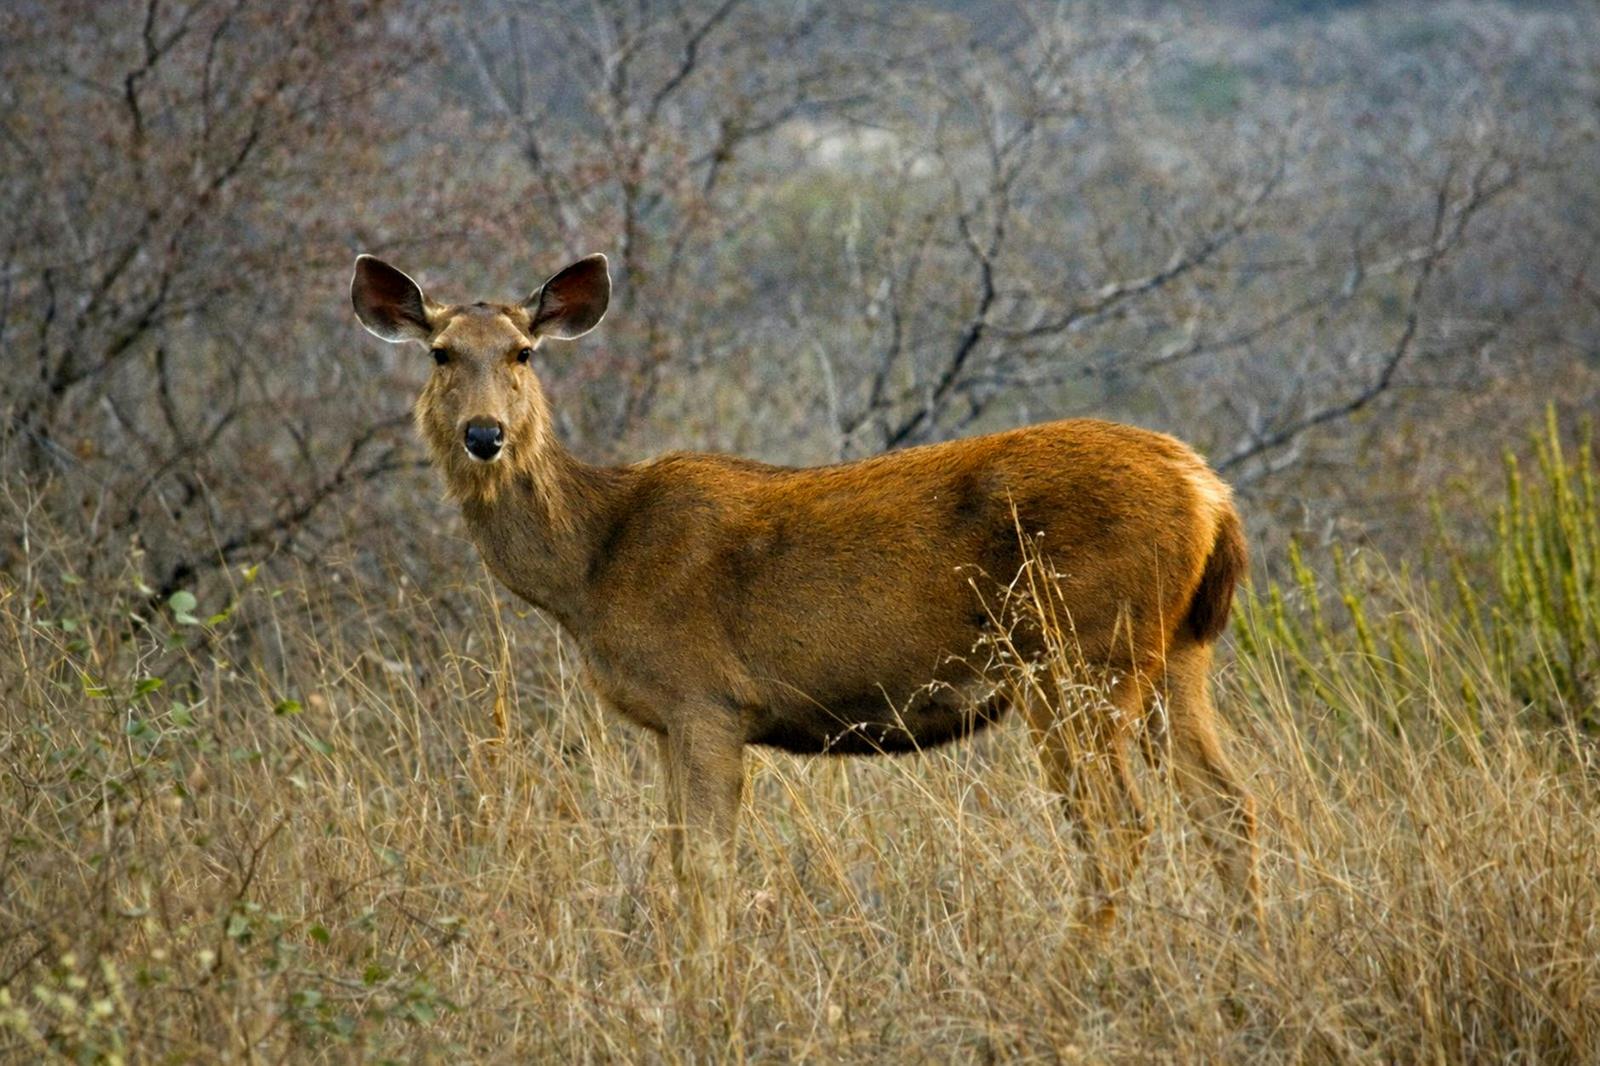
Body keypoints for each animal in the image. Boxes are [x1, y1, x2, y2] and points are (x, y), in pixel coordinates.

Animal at [351, 252, 1261, 933]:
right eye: (440, 352)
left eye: (523, 353)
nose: (485, 435)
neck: (594, 563)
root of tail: (1210, 495)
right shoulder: (668, 720)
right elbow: (680, 860)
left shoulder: (705, 699)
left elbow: (705, 869)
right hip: (1173, 657)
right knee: (1229, 811)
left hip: (1077, 656)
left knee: (1116, 830)